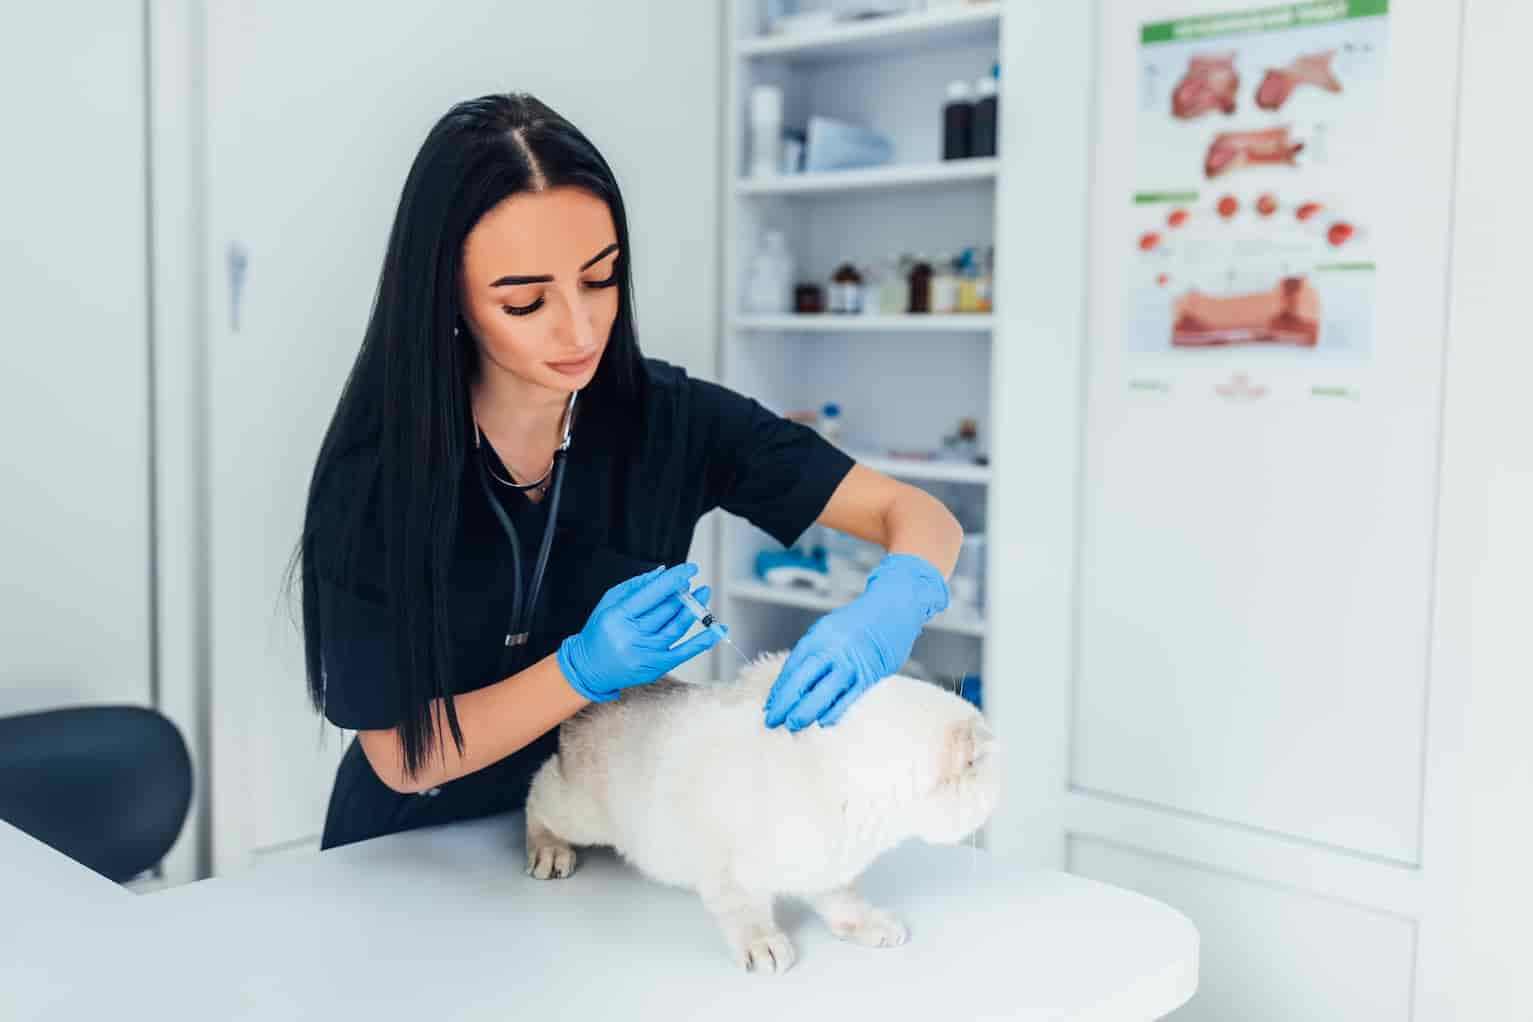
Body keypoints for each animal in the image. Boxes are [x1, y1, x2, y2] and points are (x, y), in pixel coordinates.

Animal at [521, 652, 999, 980]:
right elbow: (744, 907)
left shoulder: (824, 859)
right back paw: (549, 851)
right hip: (583, 813)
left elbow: (841, 897)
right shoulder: (723, 861)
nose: (1004, 776)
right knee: (538, 790)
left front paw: (865, 923)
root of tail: (603, 696)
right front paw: (763, 943)